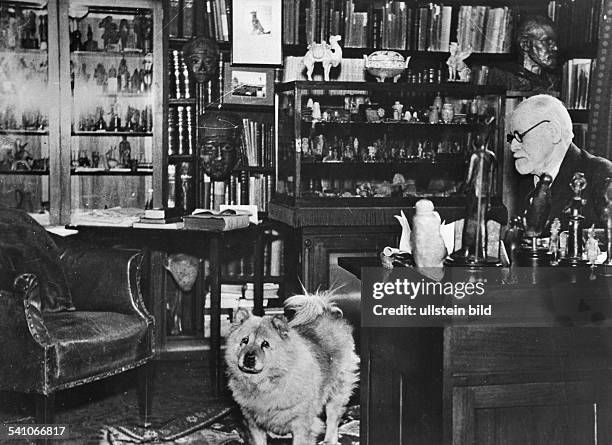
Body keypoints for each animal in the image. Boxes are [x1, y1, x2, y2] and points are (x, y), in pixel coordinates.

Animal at [225, 292, 358, 444]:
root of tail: (328, 313)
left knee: (332, 418)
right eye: (244, 341)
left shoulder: (302, 425)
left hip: (337, 391)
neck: (266, 384)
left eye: (265, 344)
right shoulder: (254, 424)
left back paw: (329, 440)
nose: (249, 357)